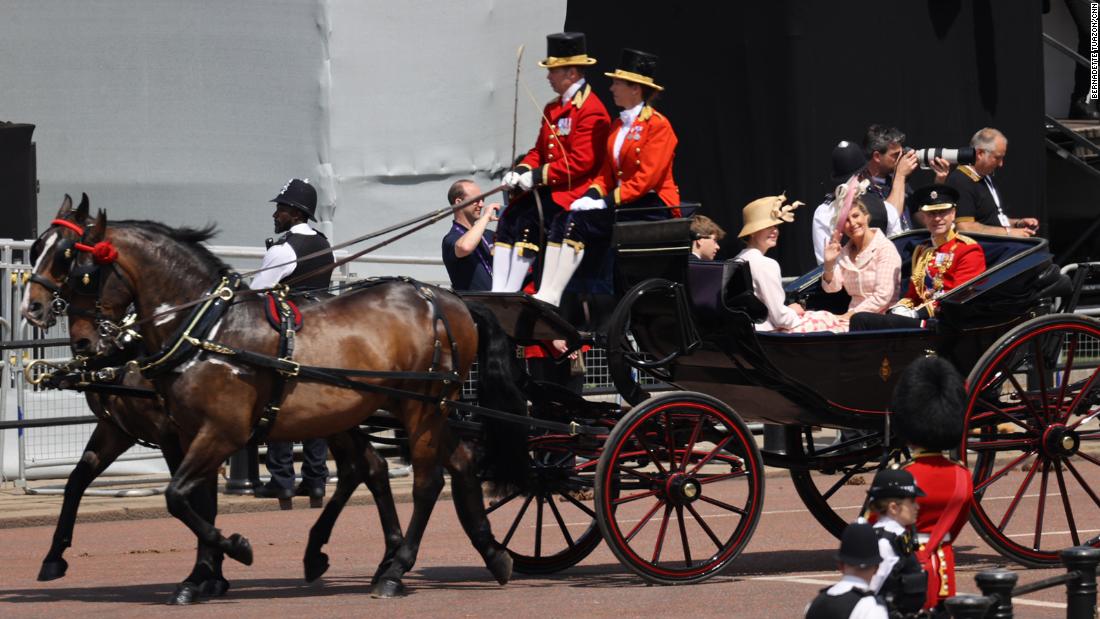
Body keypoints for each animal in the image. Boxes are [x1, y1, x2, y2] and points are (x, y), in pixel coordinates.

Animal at [24, 205, 523, 598]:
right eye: (37, 250)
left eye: (77, 266)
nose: (81, 339)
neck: (207, 329)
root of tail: (445, 298)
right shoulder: (174, 431)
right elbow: (175, 496)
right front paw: (203, 574)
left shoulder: (217, 432)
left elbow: (177, 496)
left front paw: (232, 553)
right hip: (395, 410)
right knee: (428, 463)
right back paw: (487, 553)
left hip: (422, 407)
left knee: (425, 481)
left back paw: (396, 569)